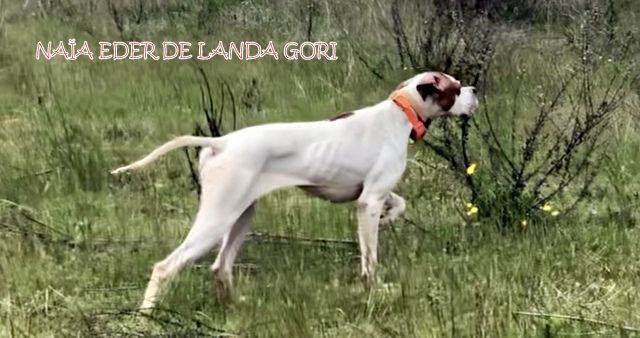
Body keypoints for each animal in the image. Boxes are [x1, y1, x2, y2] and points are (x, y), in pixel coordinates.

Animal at [112, 71, 478, 312]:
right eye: (456, 88)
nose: (475, 89)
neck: (400, 113)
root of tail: (222, 141)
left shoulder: (371, 196)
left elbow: (401, 203)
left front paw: (389, 220)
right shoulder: (369, 201)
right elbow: (370, 260)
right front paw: (374, 288)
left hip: (242, 217)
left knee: (220, 267)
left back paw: (235, 304)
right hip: (217, 220)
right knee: (165, 267)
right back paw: (146, 317)